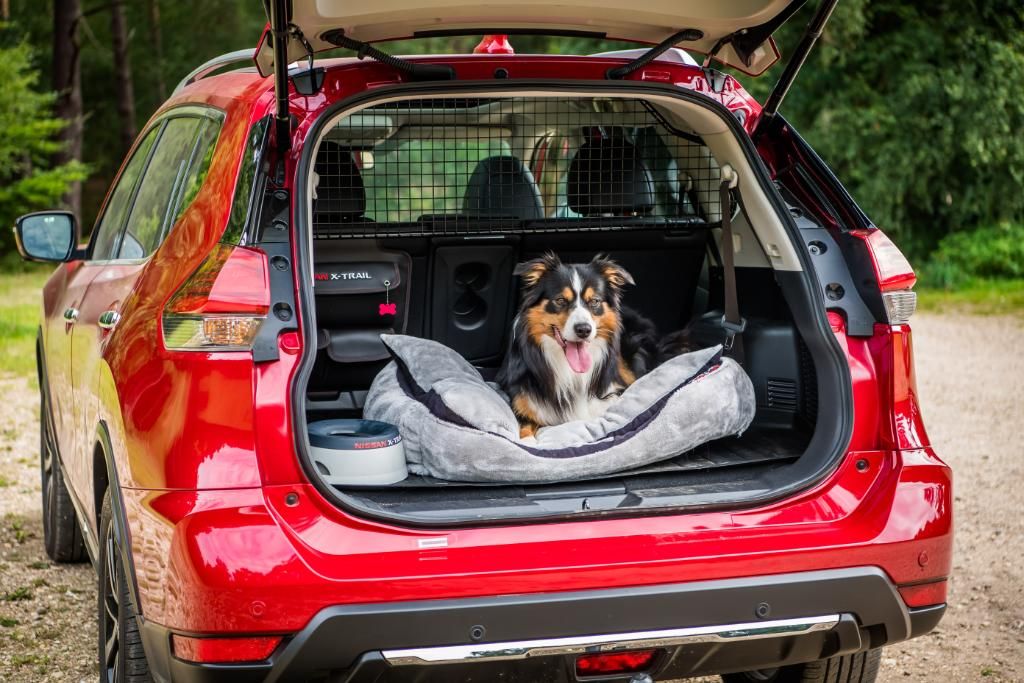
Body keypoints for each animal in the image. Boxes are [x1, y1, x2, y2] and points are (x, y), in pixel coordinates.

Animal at [497, 252, 688, 438]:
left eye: (595, 301)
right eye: (560, 300)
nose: (584, 329)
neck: (569, 370)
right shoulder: (522, 401)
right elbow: (524, 432)